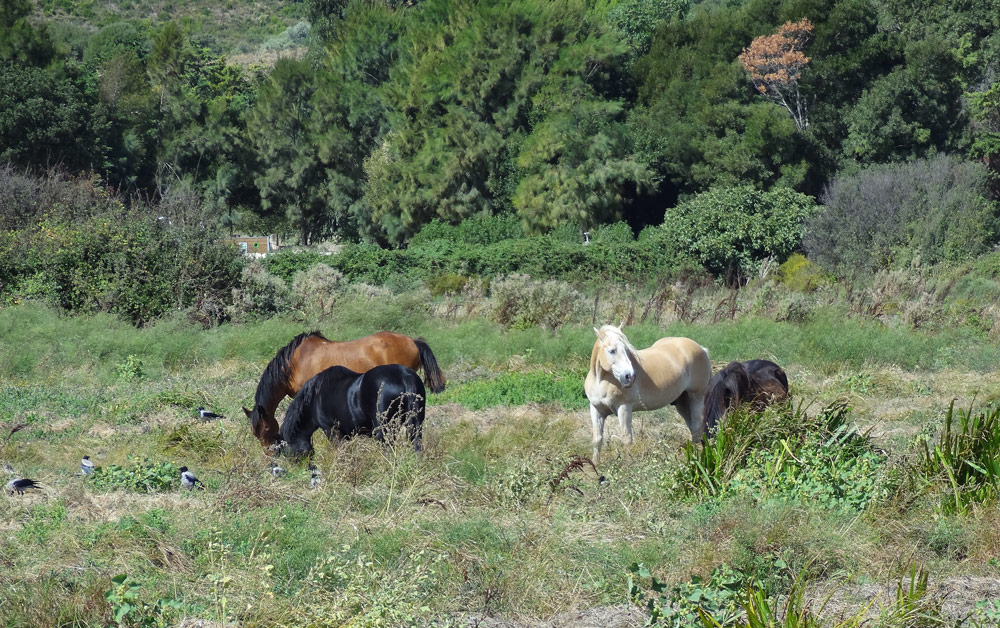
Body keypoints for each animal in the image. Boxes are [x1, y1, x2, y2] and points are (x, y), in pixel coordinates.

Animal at [584, 324, 716, 462]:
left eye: (626, 349)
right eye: (612, 350)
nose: (630, 376)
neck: (601, 380)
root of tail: (701, 348)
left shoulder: (624, 408)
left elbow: (627, 440)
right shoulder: (596, 410)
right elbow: (597, 440)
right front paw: (596, 463)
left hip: (696, 397)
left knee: (696, 426)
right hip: (682, 403)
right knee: (692, 428)